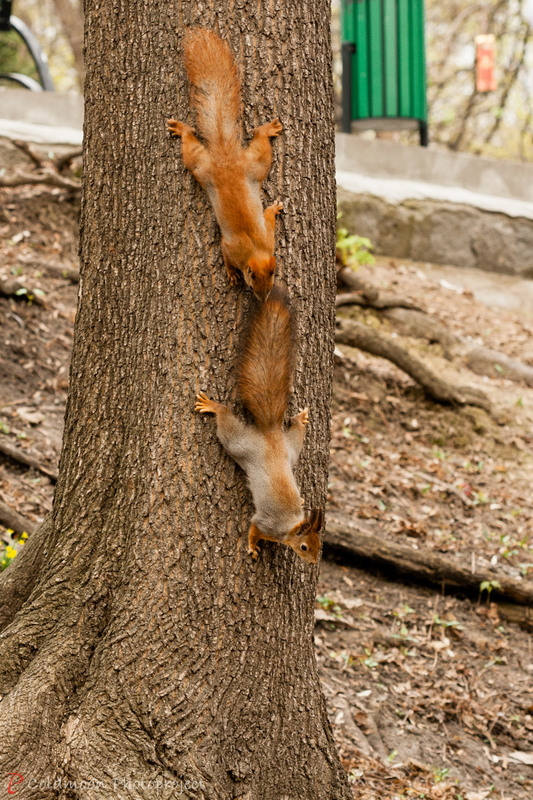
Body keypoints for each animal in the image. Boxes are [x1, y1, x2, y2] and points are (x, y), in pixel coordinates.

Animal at [167, 28, 282, 300]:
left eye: (271, 280)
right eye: (252, 284)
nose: (263, 299)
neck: (256, 250)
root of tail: (225, 157)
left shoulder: (269, 239)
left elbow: (268, 216)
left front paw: (275, 208)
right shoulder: (231, 246)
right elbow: (226, 254)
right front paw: (231, 274)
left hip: (251, 165)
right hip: (204, 165)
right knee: (192, 145)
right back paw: (182, 129)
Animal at [194, 290, 320, 564]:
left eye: (319, 544)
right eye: (305, 546)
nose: (315, 561)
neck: (289, 526)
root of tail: (271, 433)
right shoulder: (265, 523)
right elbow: (253, 528)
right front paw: (252, 546)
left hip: (291, 449)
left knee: (295, 432)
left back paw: (300, 419)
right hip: (239, 444)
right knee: (226, 422)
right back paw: (214, 406)